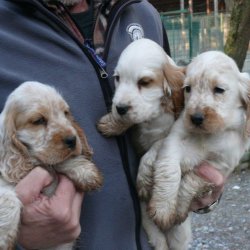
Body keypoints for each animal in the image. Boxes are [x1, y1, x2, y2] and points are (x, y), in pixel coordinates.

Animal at [0, 81, 102, 250]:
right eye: (38, 121)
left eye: (65, 113)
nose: (72, 140)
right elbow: (8, 197)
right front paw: (3, 238)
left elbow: (57, 162)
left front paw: (85, 172)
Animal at [142, 50, 250, 248]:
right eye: (188, 88)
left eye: (219, 89)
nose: (196, 118)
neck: (208, 134)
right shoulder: (173, 142)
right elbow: (169, 170)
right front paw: (163, 208)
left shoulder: (220, 165)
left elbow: (191, 181)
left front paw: (178, 208)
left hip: (180, 236)